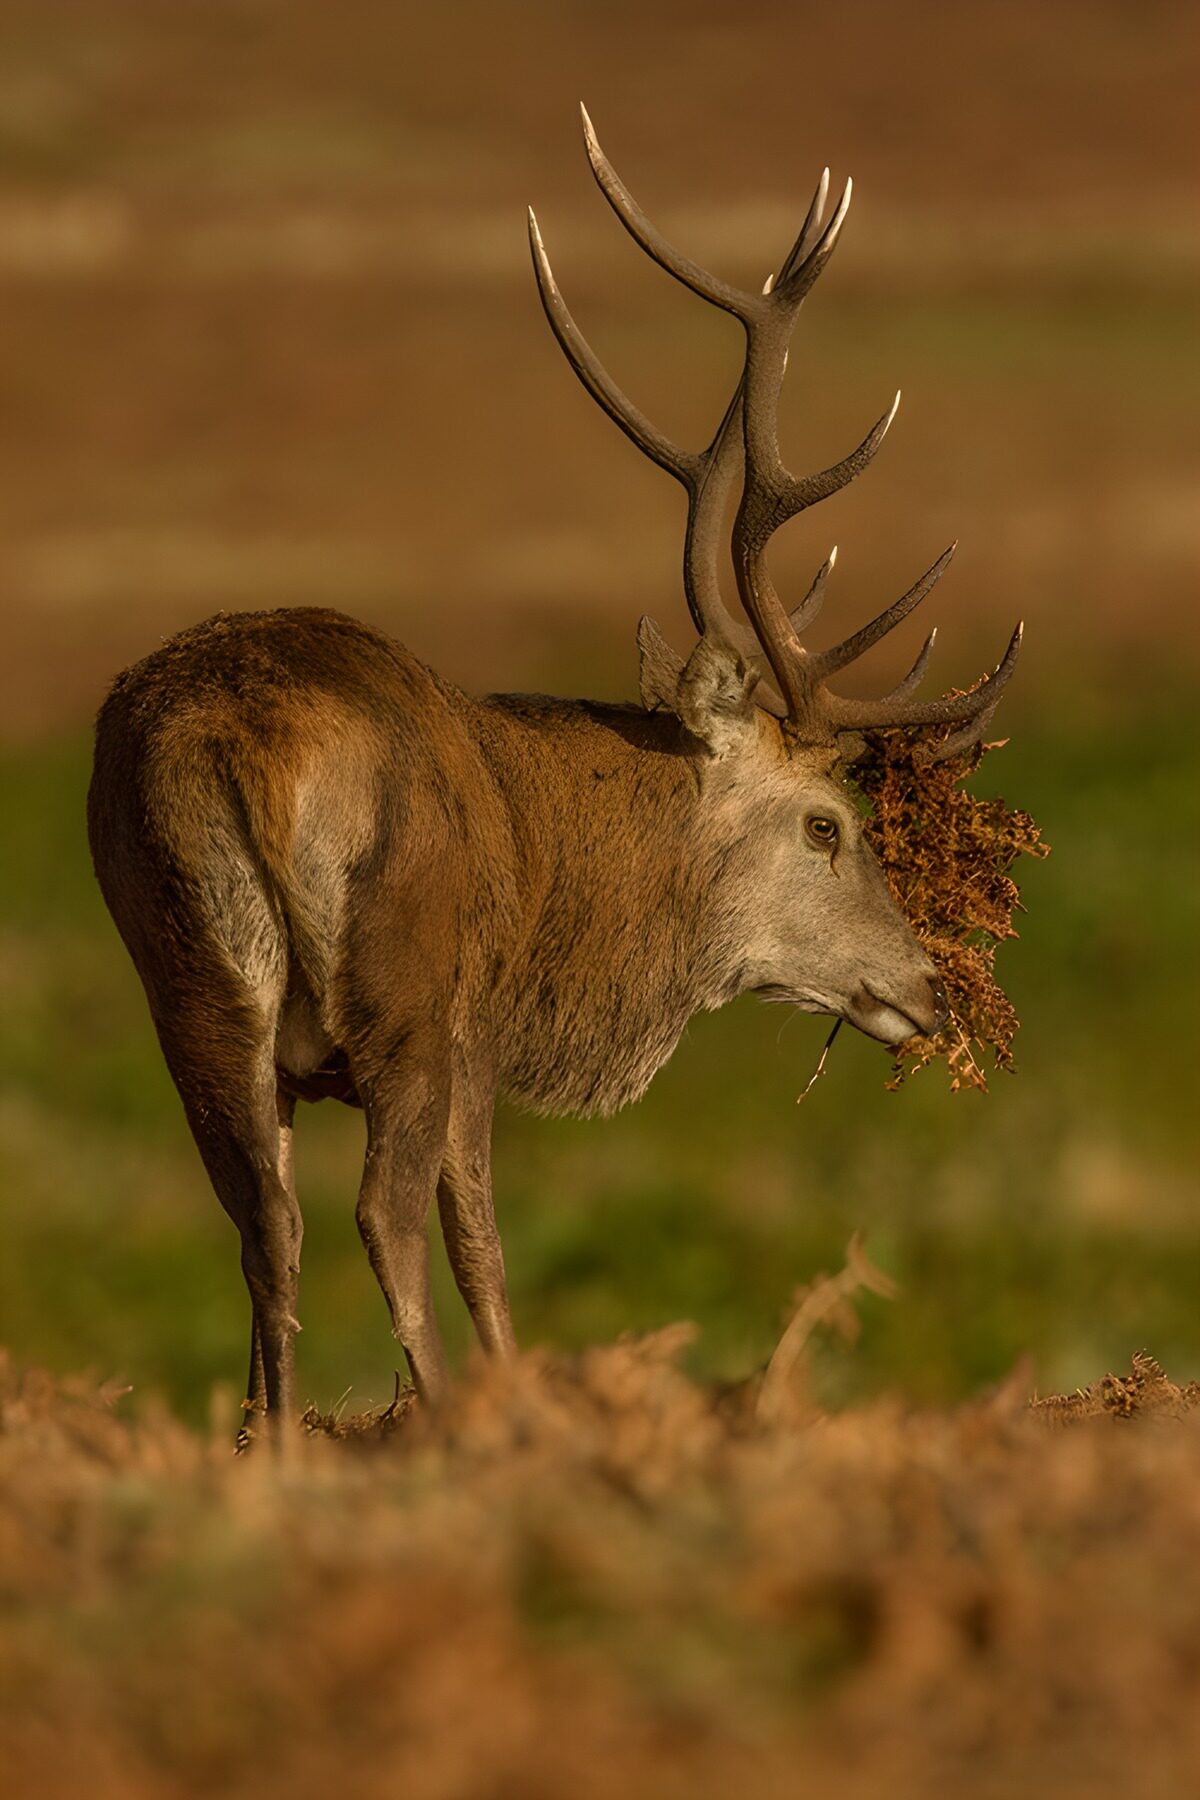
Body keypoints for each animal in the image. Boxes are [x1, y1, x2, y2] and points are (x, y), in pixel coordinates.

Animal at [87, 108, 1021, 1442]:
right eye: (827, 825)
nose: (929, 988)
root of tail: (246, 746)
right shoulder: (480, 1027)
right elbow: (481, 1241)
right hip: (405, 987)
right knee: (383, 1217)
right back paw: (455, 1424)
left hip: (189, 981)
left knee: (267, 1223)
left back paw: (270, 1450)